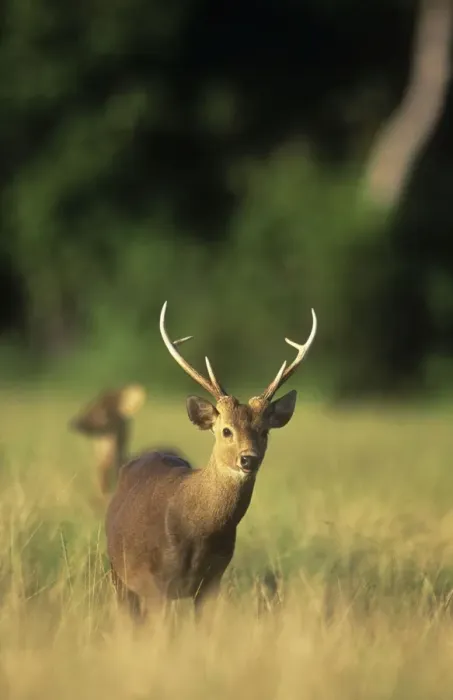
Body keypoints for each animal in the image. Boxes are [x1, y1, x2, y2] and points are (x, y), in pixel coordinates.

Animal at [105, 300, 317, 621]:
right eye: (226, 430)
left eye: (264, 431)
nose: (248, 459)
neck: (197, 531)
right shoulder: (157, 582)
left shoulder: (211, 581)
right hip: (118, 573)